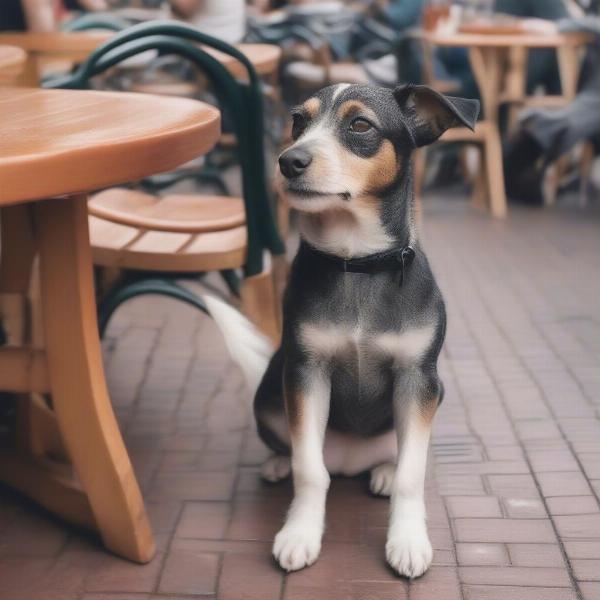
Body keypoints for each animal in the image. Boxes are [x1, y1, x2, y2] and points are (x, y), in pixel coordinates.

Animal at [205, 82, 478, 580]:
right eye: (298, 120)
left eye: (360, 125)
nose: (289, 161)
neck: (358, 263)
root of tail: (351, 461)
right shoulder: (306, 372)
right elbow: (309, 470)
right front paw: (300, 534)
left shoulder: (418, 378)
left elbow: (413, 474)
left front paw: (408, 540)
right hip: (270, 394)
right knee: (299, 453)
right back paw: (277, 462)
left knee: (398, 456)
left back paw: (383, 470)